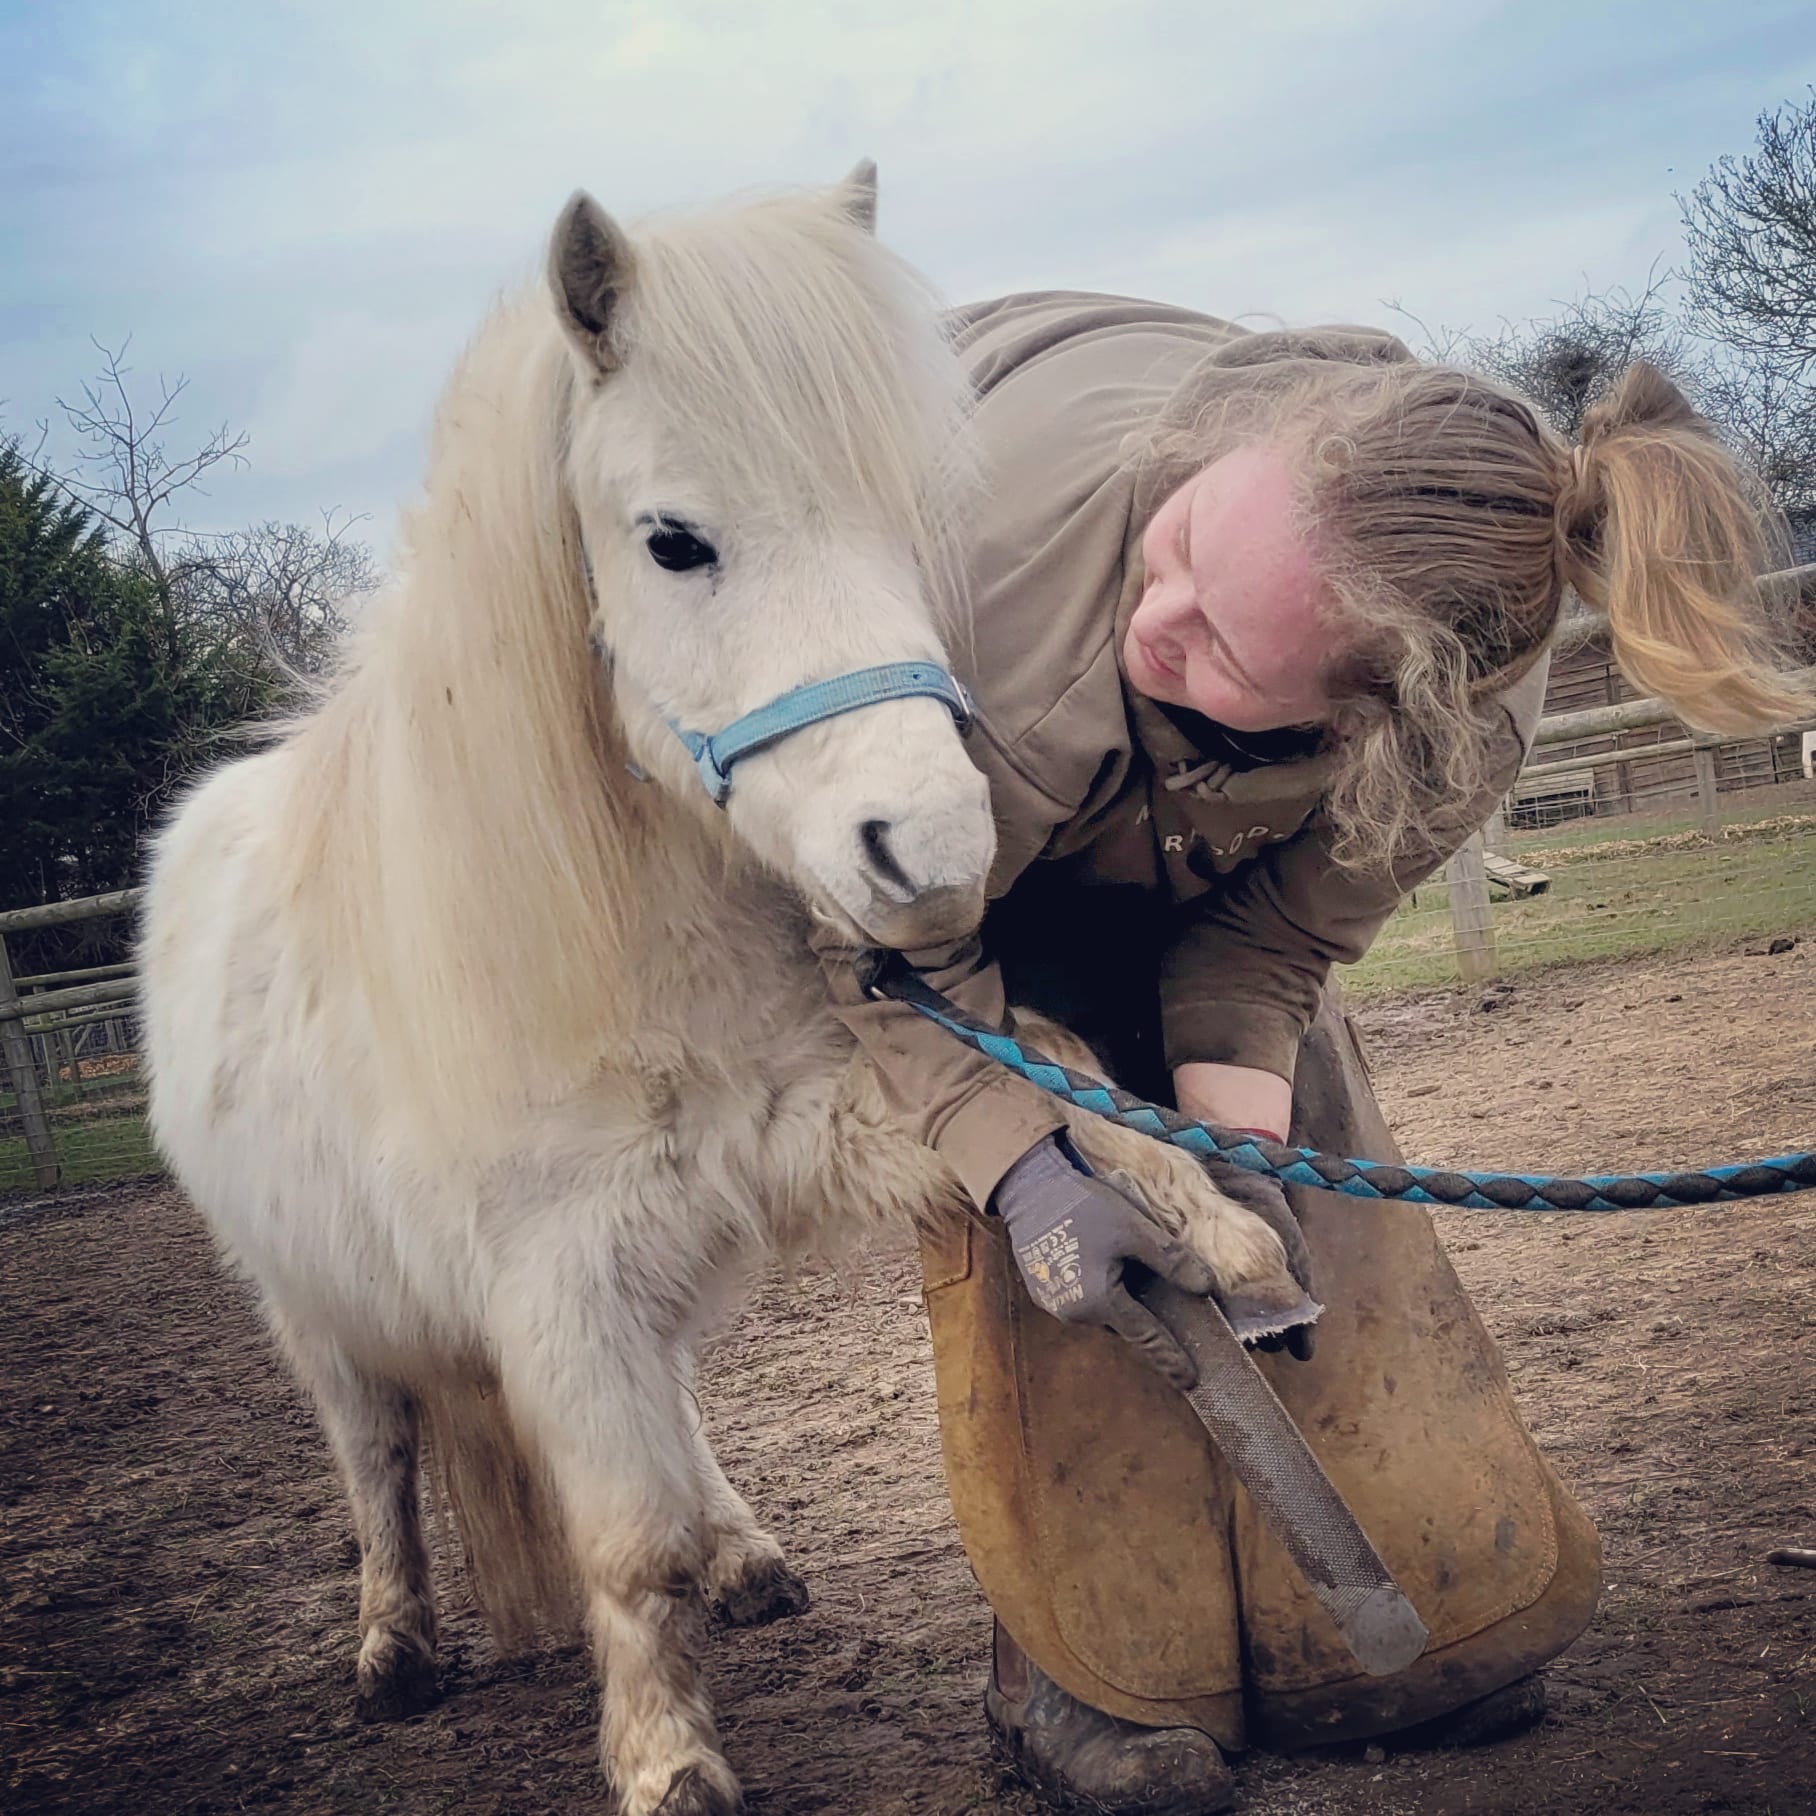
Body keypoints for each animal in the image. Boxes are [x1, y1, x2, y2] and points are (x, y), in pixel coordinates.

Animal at [139, 166, 1292, 1815]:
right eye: (673, 542)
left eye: (914, 515)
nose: (935, 850)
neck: (621, 933)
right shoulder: (558, 1281)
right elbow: (627, 1548)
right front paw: (666, 1762)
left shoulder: (804, 1114)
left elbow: (1048, 1069)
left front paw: (1202, 1210)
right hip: (321, 1313)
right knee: (382, 1463)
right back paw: (394, 1648)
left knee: (677, 1410)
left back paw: (747, 1554)